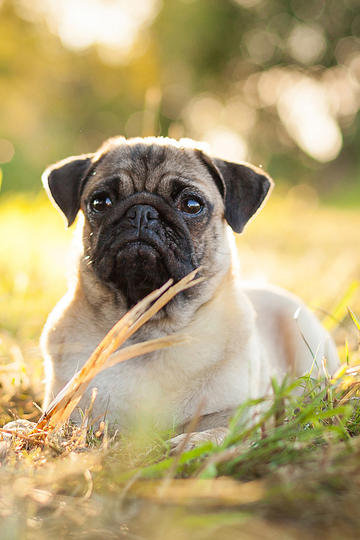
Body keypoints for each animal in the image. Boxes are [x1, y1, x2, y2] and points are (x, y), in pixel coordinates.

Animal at [40, 137, 338, 450]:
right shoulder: (67, 412)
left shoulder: (237, 413)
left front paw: (189, 443)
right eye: (100, 202)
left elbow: (220, 432)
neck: (149, 330)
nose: (142, 212)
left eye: (192, 205)